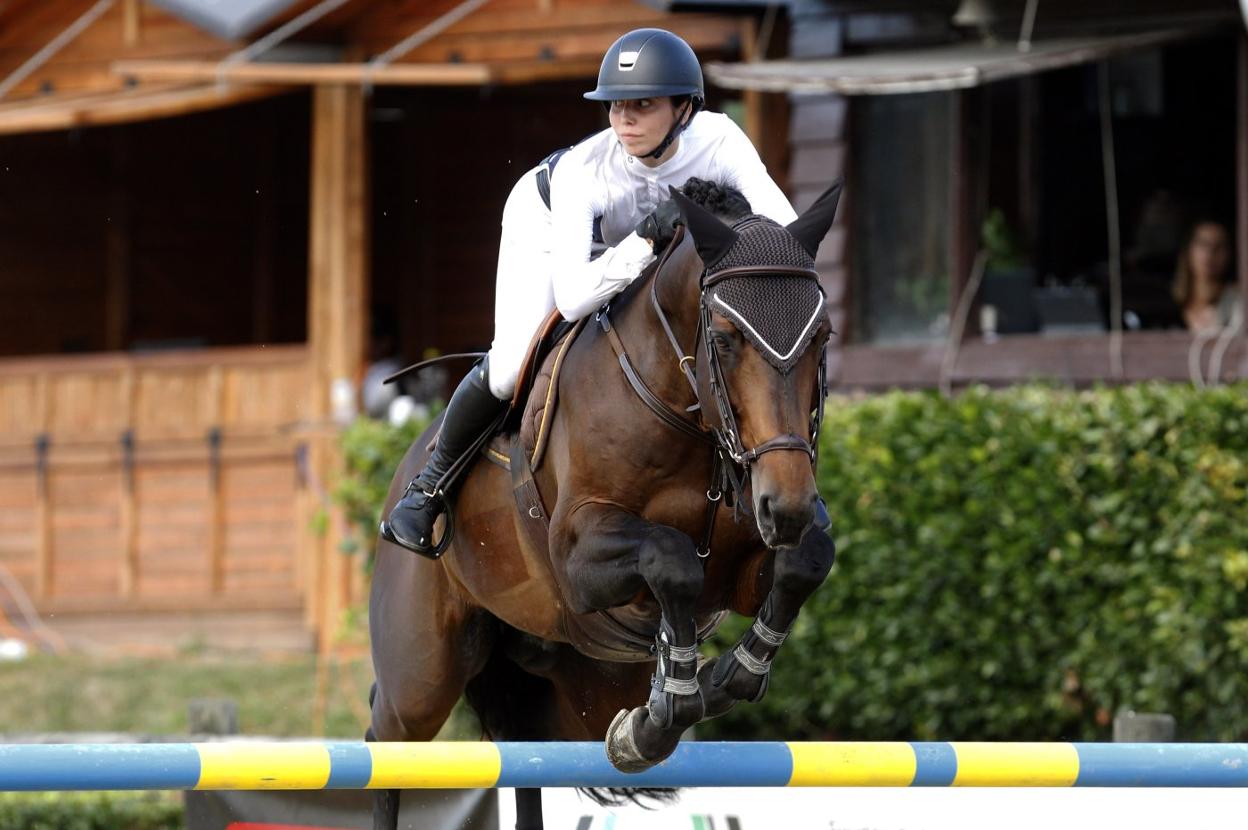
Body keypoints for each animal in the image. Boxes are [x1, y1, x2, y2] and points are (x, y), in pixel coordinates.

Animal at [364, 175, 843, 828]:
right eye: (724, 339)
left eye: (822, 337)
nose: (786, 504)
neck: (688, 420)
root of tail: (412, 455)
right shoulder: (578, 559)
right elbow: (670, 558)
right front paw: (667, 708)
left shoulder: (747, 567)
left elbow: (806, 561)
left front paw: (725, 677)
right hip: (421, 678)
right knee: (388, 746)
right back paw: (417, 514)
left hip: (574, 681)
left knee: (526, 756)